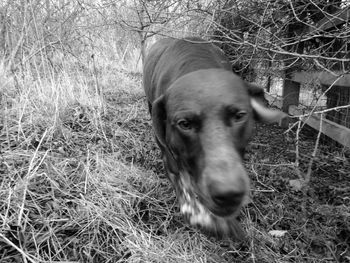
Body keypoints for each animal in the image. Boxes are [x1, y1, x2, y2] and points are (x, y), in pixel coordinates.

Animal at [144, 37, 286, 239]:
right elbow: (181, 180)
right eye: (184, 123)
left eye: (240, 115)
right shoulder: (169, 151)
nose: (228, 193)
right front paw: (201, 215)